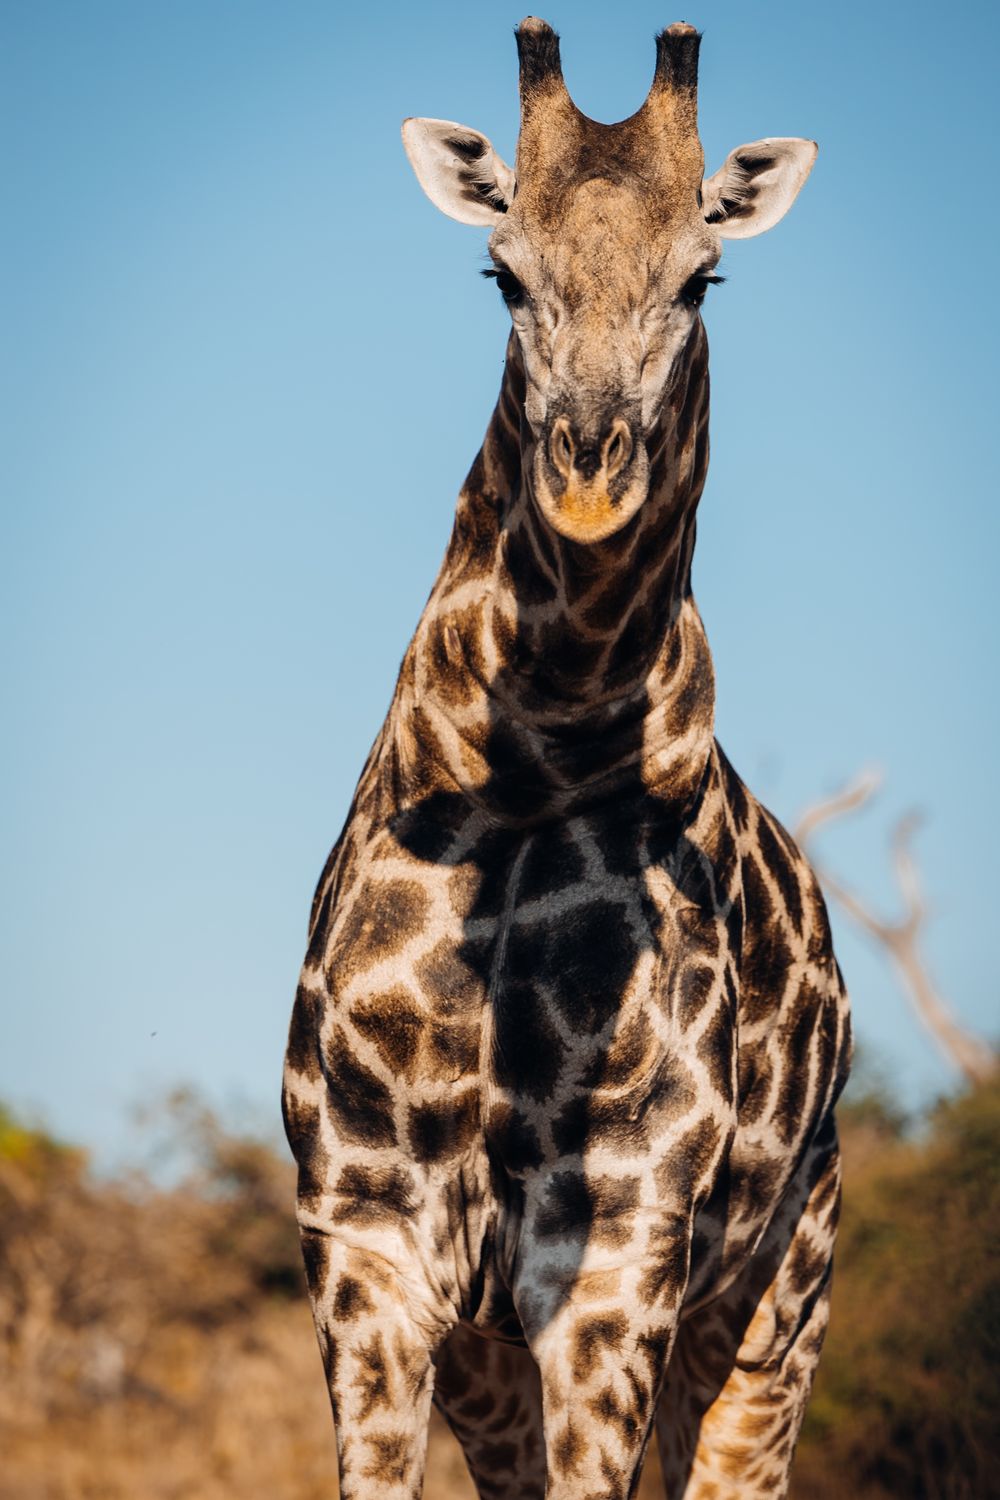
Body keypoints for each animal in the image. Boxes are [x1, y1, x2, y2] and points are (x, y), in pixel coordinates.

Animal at [283, 19, 850, 1500]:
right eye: (501, 272)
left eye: (703, 276)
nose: (589, 476)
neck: (532, 773)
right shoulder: (366, 1239)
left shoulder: (616, 1251)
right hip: (498, 1356)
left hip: (779, 1296)